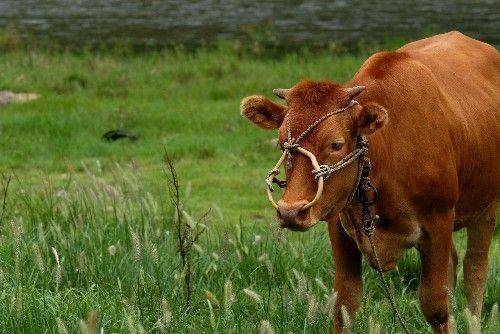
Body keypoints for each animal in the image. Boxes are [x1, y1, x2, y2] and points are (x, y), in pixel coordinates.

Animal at [240, 30, 498, 332]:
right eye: (282, 143)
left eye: (337, 144)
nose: (291, 211)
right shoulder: (338, 224)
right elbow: (345, 305)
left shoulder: (438, 221)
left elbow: (436, 306)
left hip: (486, 208)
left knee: (475, 273)